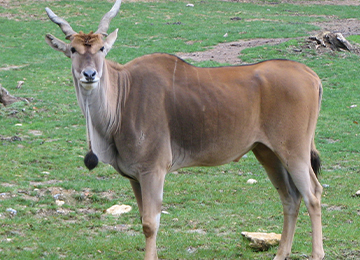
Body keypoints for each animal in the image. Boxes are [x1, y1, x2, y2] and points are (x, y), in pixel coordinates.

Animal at [44, 1, 324, 258]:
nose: (89, 74)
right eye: (73, 49)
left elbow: (150, 224)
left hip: (294, 152)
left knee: (313, 194)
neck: (124, 95)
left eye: (101, 48)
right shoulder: (135, 176)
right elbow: (143, 219)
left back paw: (316, 253)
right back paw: (281, 253)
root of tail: (311, 75)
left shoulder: (153, 170)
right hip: (267, 152)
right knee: (290, 197)